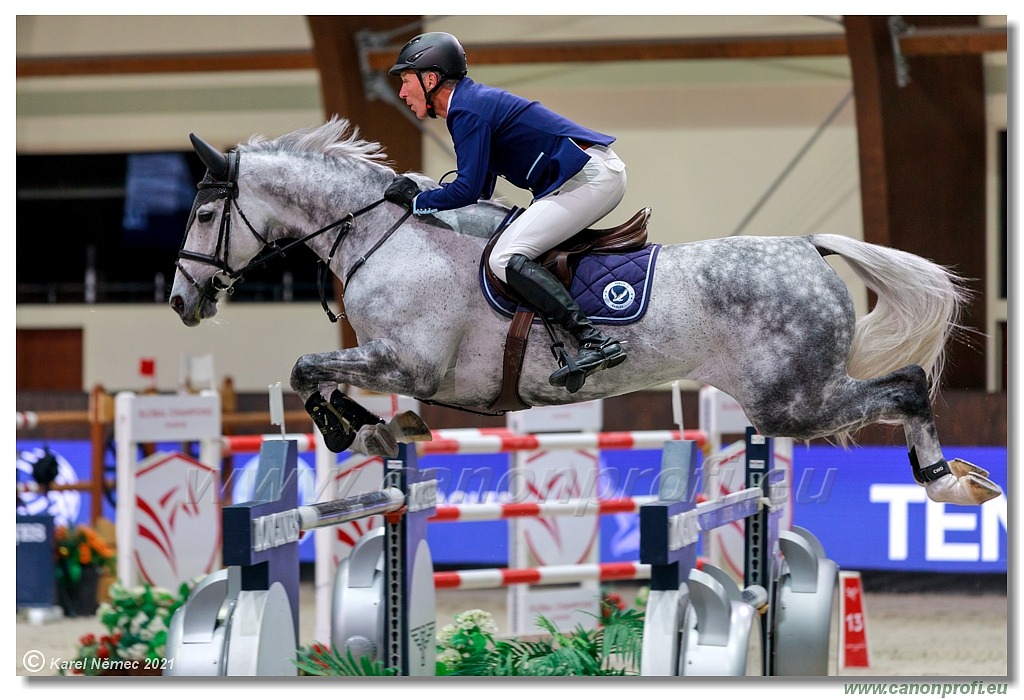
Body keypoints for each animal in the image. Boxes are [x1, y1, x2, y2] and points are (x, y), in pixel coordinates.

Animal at [169, 117, 999, 505]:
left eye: (205, 214)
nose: (180, 301)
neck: (387, 232)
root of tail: (807, 245)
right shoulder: (390, 361)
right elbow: (321, 373)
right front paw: (381, 428)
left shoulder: (410, 361)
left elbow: (307, 367)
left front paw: (359, 430)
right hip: (792, 398)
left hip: (789, 401)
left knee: (907, 386)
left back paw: (946, 481)